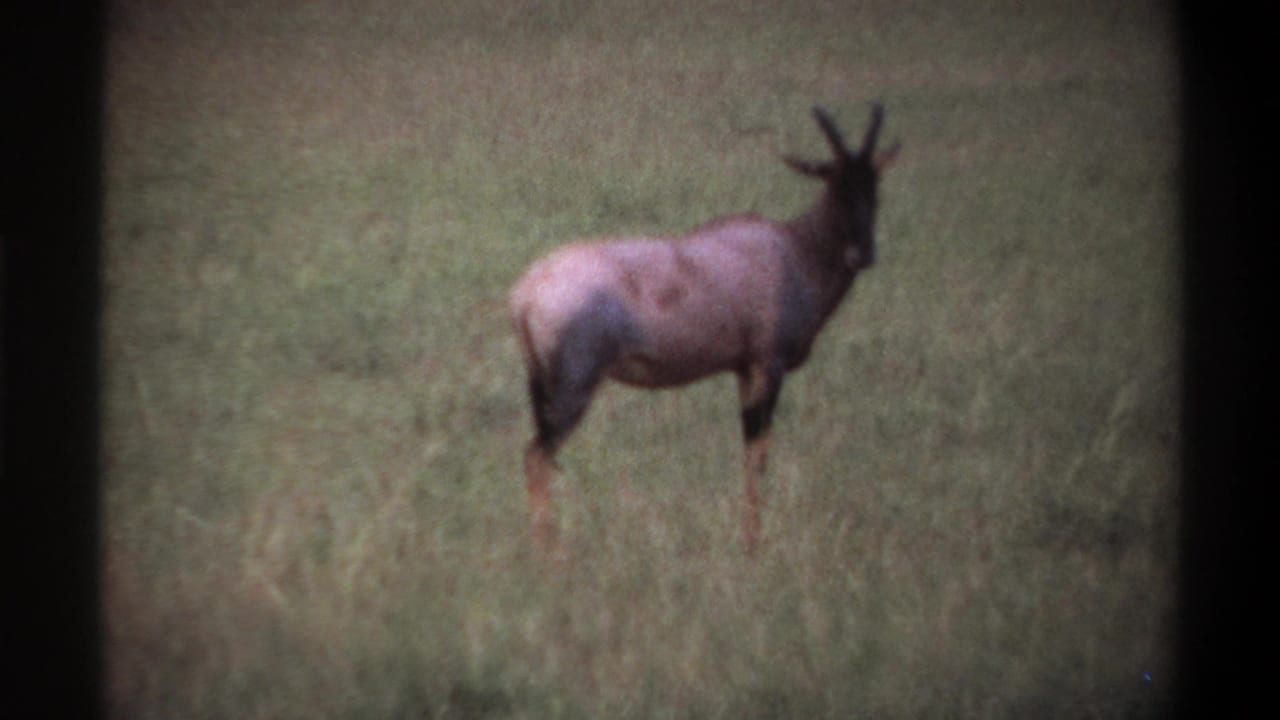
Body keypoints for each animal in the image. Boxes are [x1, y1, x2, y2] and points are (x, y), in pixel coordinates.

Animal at [509, 104, 899, 553]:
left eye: (874, 185)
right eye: (834, 183)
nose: (862, 254)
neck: (792, 249)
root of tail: (527, 290)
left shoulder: (744, 369)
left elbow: (750, 452)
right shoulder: (768, 365)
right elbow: (757, 453)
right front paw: (752, 545)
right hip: (575, 387)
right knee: (537, 457)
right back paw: (548, 554)